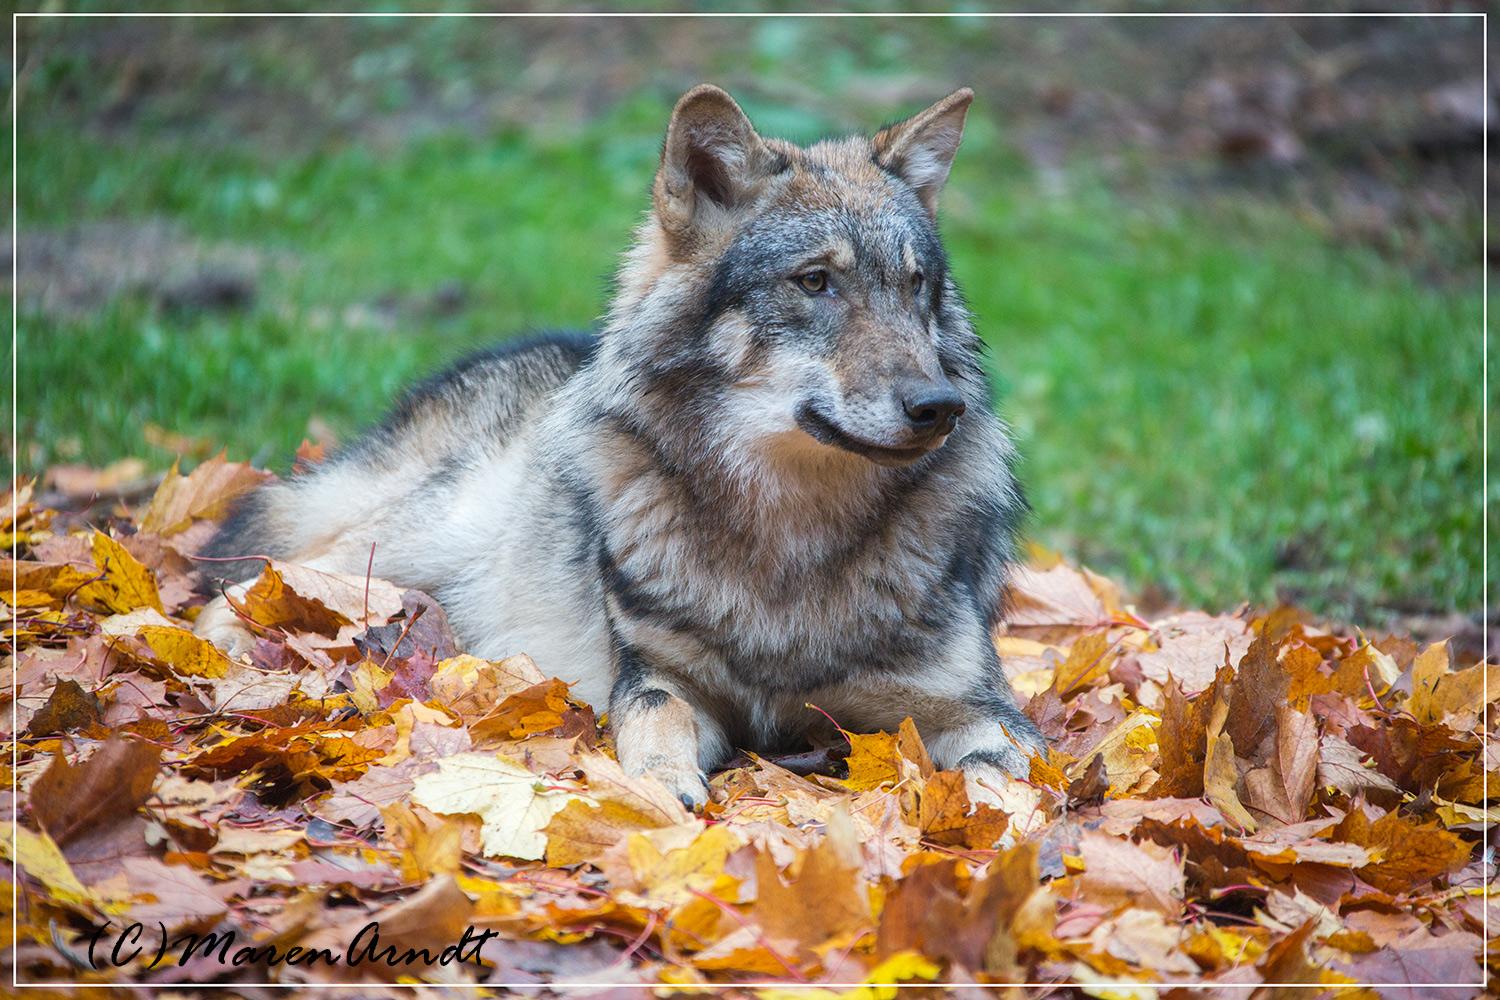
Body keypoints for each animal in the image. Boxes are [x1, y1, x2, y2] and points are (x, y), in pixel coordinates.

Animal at [196, 83, 1044, 803]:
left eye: (915, 285)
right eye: (815, 282)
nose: (939, 406)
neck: (789, 548)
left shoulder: (976, 707)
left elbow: (1016, 779)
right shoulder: (659, 677)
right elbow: (654, 719)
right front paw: (660, 789)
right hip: (408, 544)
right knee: (265, 576)